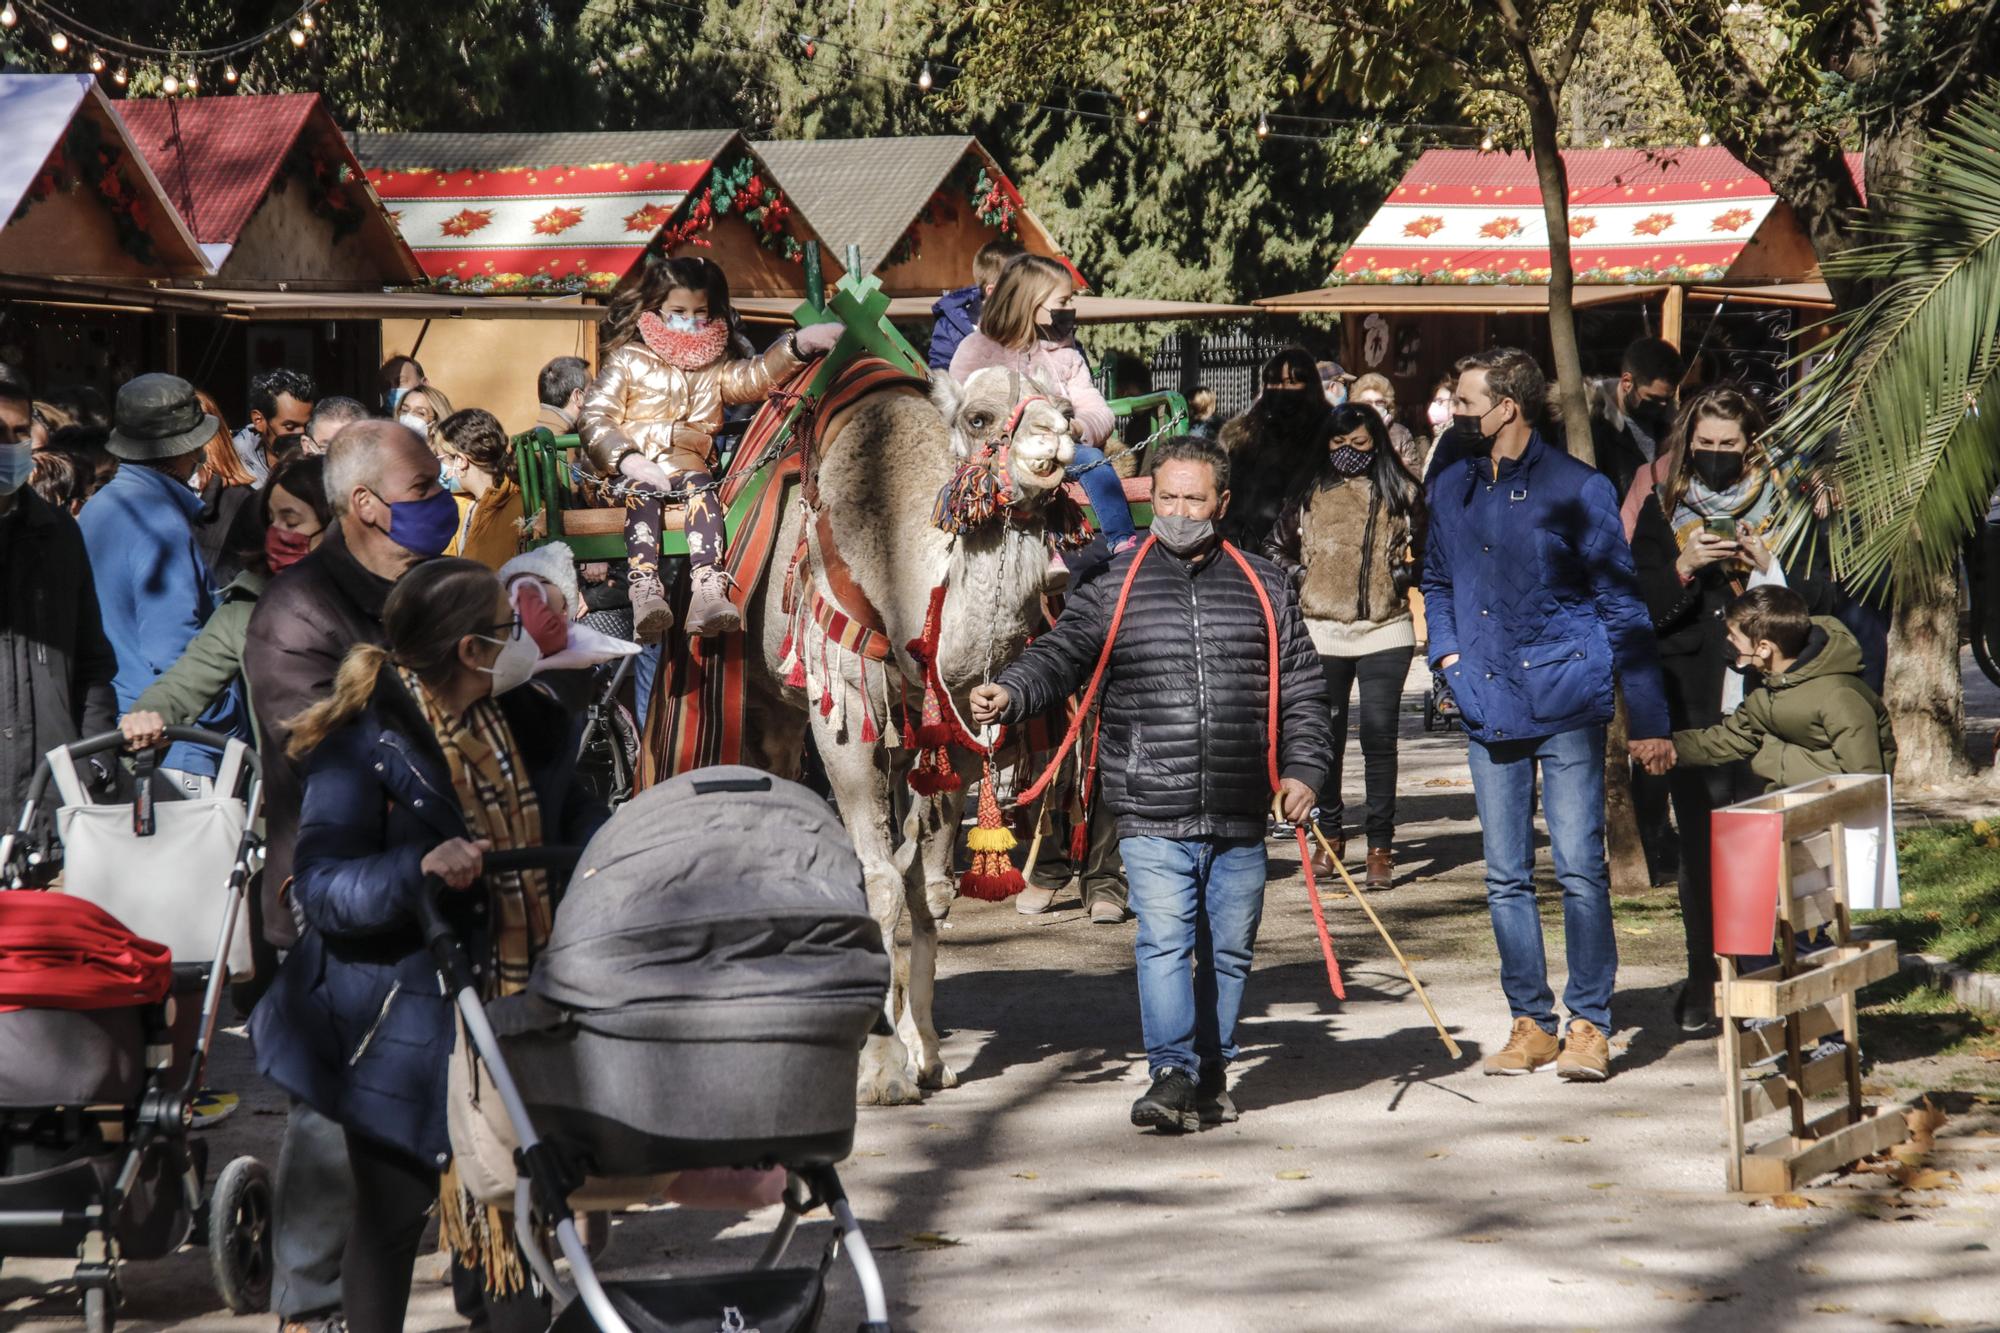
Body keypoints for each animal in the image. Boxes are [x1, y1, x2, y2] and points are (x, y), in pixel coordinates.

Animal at [744, 364, 1080, 1096]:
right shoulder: (843, 709)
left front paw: (924, 1050)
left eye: (1066, 405)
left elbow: (930, 887)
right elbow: (877, 881)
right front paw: (879, 1066)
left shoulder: (955, 727)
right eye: (981, 417)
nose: (1055, 436)